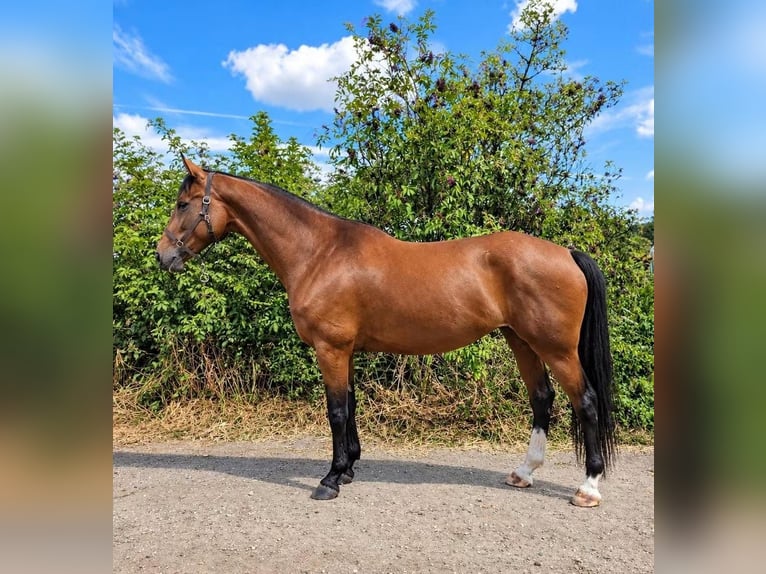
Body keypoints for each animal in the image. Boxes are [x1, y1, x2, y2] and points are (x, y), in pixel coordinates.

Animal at [156, 156, 616, 507]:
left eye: (183, 204)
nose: (162, 256)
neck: (320, 252)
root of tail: (566, 253)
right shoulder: (345, 350)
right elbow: (351, 405)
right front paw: (348, 469)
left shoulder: (330, 348)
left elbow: (336, 412)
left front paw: (329, 480)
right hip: (521, 341)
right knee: (542, 399)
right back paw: (523, 473)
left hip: (557, 349)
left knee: (586, 402)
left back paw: (588, 487)